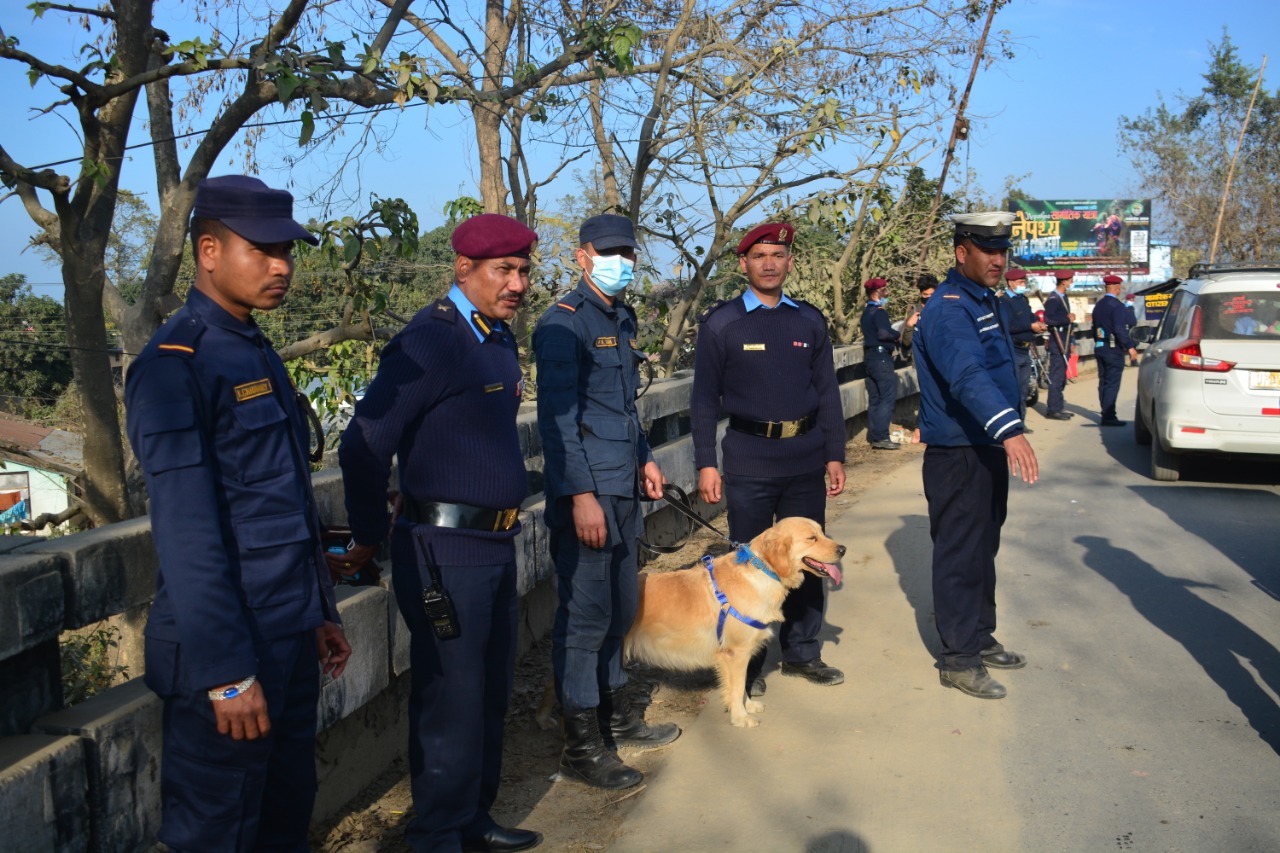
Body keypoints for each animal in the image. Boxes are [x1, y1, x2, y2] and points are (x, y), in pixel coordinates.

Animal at [624, 514, 844, 727]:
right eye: (812, 538)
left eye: (821, 532)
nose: (843, 549)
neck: (761, 571)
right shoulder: (736, 653)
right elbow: (738, 688)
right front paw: (740, 717)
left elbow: (740, 686)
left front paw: (747, 706)